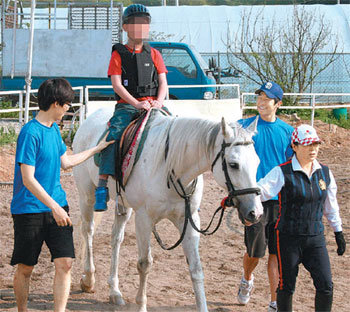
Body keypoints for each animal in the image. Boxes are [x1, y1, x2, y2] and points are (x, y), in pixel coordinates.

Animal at [72, 107, 262, 312]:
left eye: (257, 162)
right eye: (233, 164)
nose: (255, 212)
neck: (171, 169)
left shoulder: (188, 220)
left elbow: (196, 268)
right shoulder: (144, 219)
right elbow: (144, 264)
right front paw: (141, 305)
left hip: (123, 205)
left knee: (116, 238)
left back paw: (114, 291)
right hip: (87, 195)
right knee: (88, 231)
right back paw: (88, 280)